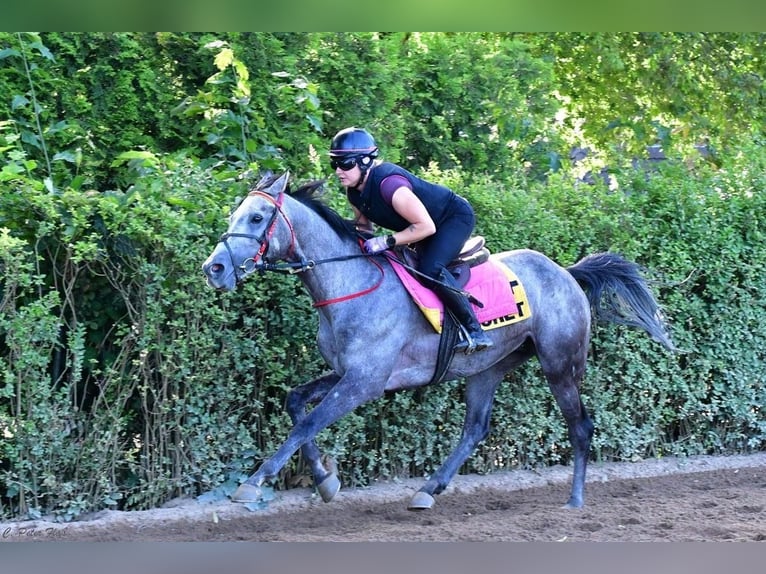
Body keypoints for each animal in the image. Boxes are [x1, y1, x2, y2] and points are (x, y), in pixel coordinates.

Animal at [202, 171, 674, 511]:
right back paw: (429, 489)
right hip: (489, 368)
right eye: (233, 216)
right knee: (475, 428)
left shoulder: (364, 382)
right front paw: (325, 479)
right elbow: (297, 403)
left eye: (256, 218)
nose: (214, 268)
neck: (349, 283)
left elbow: (307, 422)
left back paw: (575, 500)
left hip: (560, 363)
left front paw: (253, 482)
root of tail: (567, 274)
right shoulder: (347, 374)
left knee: (580, 426)